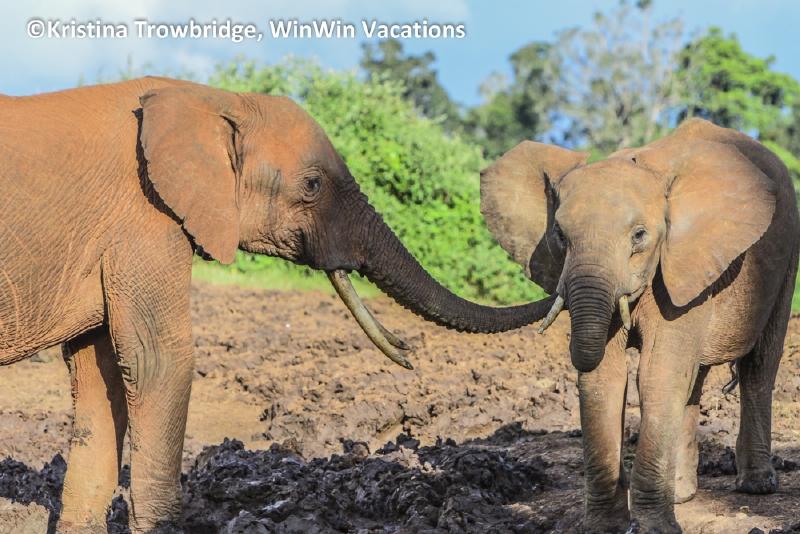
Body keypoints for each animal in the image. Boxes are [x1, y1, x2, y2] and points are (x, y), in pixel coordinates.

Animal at [0, 77, 559, 533]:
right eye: (311, 186)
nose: (409, 352)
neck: (211, 98)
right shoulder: (146, 219)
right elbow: (158, 362)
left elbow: (100, 377)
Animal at [480, 118, 800, 533]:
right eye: (560, 236)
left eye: (639, 236)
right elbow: (606, 378)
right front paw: (604, 527)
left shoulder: (679, 261)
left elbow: (655, 374)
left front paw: (655, 528)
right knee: (694, 377)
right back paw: (682, 495)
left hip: (786, 255)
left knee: (759, 365)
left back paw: (756, 486)